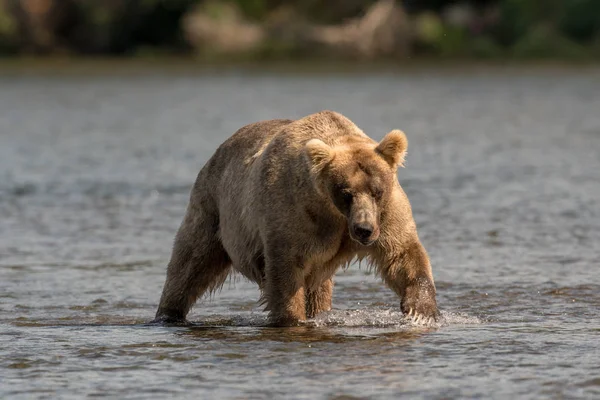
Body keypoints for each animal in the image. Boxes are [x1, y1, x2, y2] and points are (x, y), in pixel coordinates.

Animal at [152, 109, 438, 324]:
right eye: (345, 193)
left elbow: (402, 253)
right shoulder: (295, 216)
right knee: (190, 263)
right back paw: (167, 313)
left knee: (320, 290)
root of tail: (220, 148)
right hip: (213, 210)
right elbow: (286, 271)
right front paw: (291, 318)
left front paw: (421, 310)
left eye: (377, 191)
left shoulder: (387, 213)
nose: (364, 229)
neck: (333, 215)